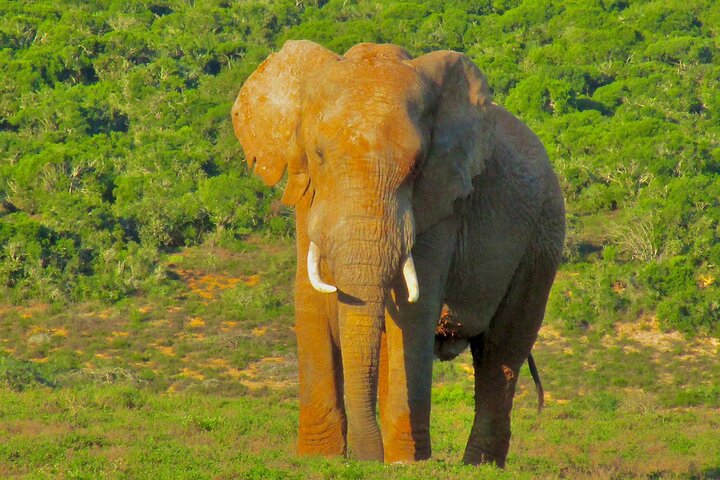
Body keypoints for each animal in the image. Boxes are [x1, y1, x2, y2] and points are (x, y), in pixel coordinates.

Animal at [231, 40, 565, 467]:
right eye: (318, 155)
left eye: (417, 166)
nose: (364, 460)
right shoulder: (308, 197)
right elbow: (310, 300)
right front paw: (318, 460)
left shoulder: (444, 199)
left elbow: (413, 310)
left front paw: (407, 462)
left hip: (542, 239)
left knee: (500, 352)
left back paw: (477, 464)